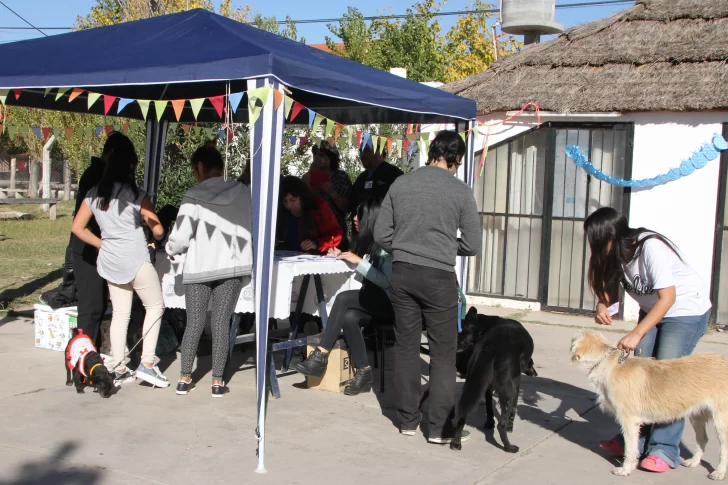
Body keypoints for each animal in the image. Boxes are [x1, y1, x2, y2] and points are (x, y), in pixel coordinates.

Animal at [446, 308, 536, 452]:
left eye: (460, 332)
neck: (486, 325)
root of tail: (491, 347)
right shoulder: (516, 382)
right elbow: (514, 407)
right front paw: (510, 426)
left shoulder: (486, 385)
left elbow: (489, 406)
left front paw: (489, 423)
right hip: (508, 387)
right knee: (501, 424)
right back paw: (509, 447)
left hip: (472, 382)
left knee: (463, 412)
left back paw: (456, 443)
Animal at [572, 330, 724, 478]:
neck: (609, 364)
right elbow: (634, 448)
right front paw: (632, 465)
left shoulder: (629, 421)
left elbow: (630, 449)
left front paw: (625, 469)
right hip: (697, 415)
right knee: (703, 439)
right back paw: (694, 461)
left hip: (721, 420)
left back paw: (719, 472)